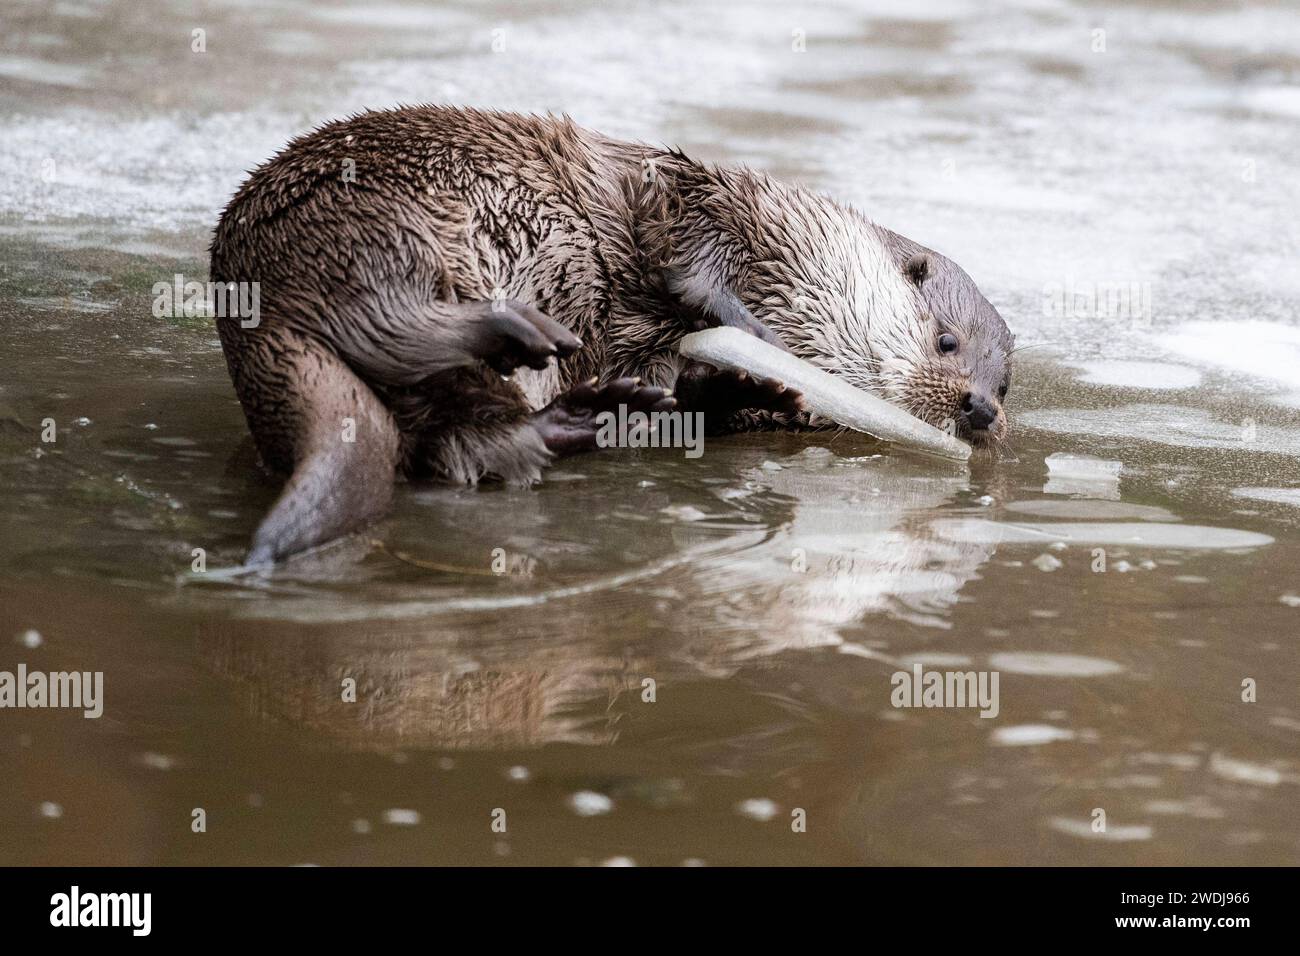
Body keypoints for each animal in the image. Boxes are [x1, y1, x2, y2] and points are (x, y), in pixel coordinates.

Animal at [208, 107, 1008, 564]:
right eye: (947, 341)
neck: (794, 261)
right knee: (392, 324)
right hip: (385, 217)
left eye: (1004, 383)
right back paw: (514, 331)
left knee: (460, 439)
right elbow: (684, 247)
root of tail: (240, 275)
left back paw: (584, 415)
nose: (982, 408)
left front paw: (741, 387)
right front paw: (746, 331)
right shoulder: (698, 198)